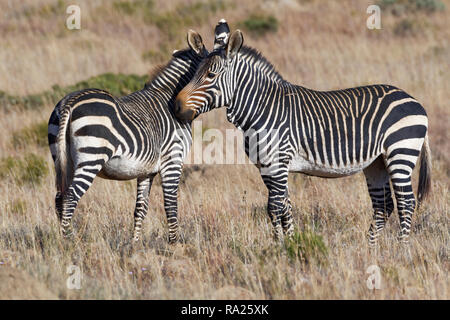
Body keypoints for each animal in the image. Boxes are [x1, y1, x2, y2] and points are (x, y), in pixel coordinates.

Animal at [46, 30, 207, 245]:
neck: (170, 100)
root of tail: (70, 101)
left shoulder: (146, 171)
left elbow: (141, 208)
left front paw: (135, 243)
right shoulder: (173, 159)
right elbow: (171, 204)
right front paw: (174, 244)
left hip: (63, 158)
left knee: (59, 197)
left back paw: (64, 238)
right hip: (91, 157)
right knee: (71, 196)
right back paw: (70, 241)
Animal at [174, 25, 430, 246]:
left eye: (210, 75)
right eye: (194, 73)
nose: (176, 107)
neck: (263, 107)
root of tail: (414, 100)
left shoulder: (278, 163)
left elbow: (274, 208)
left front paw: (280, 250)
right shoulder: (267, 168)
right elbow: (284, 207)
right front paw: (289, 244)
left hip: (400, 153)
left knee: (406, 202)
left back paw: (401, 248)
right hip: (377, 162)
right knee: (383, 205)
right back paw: (372, 250)